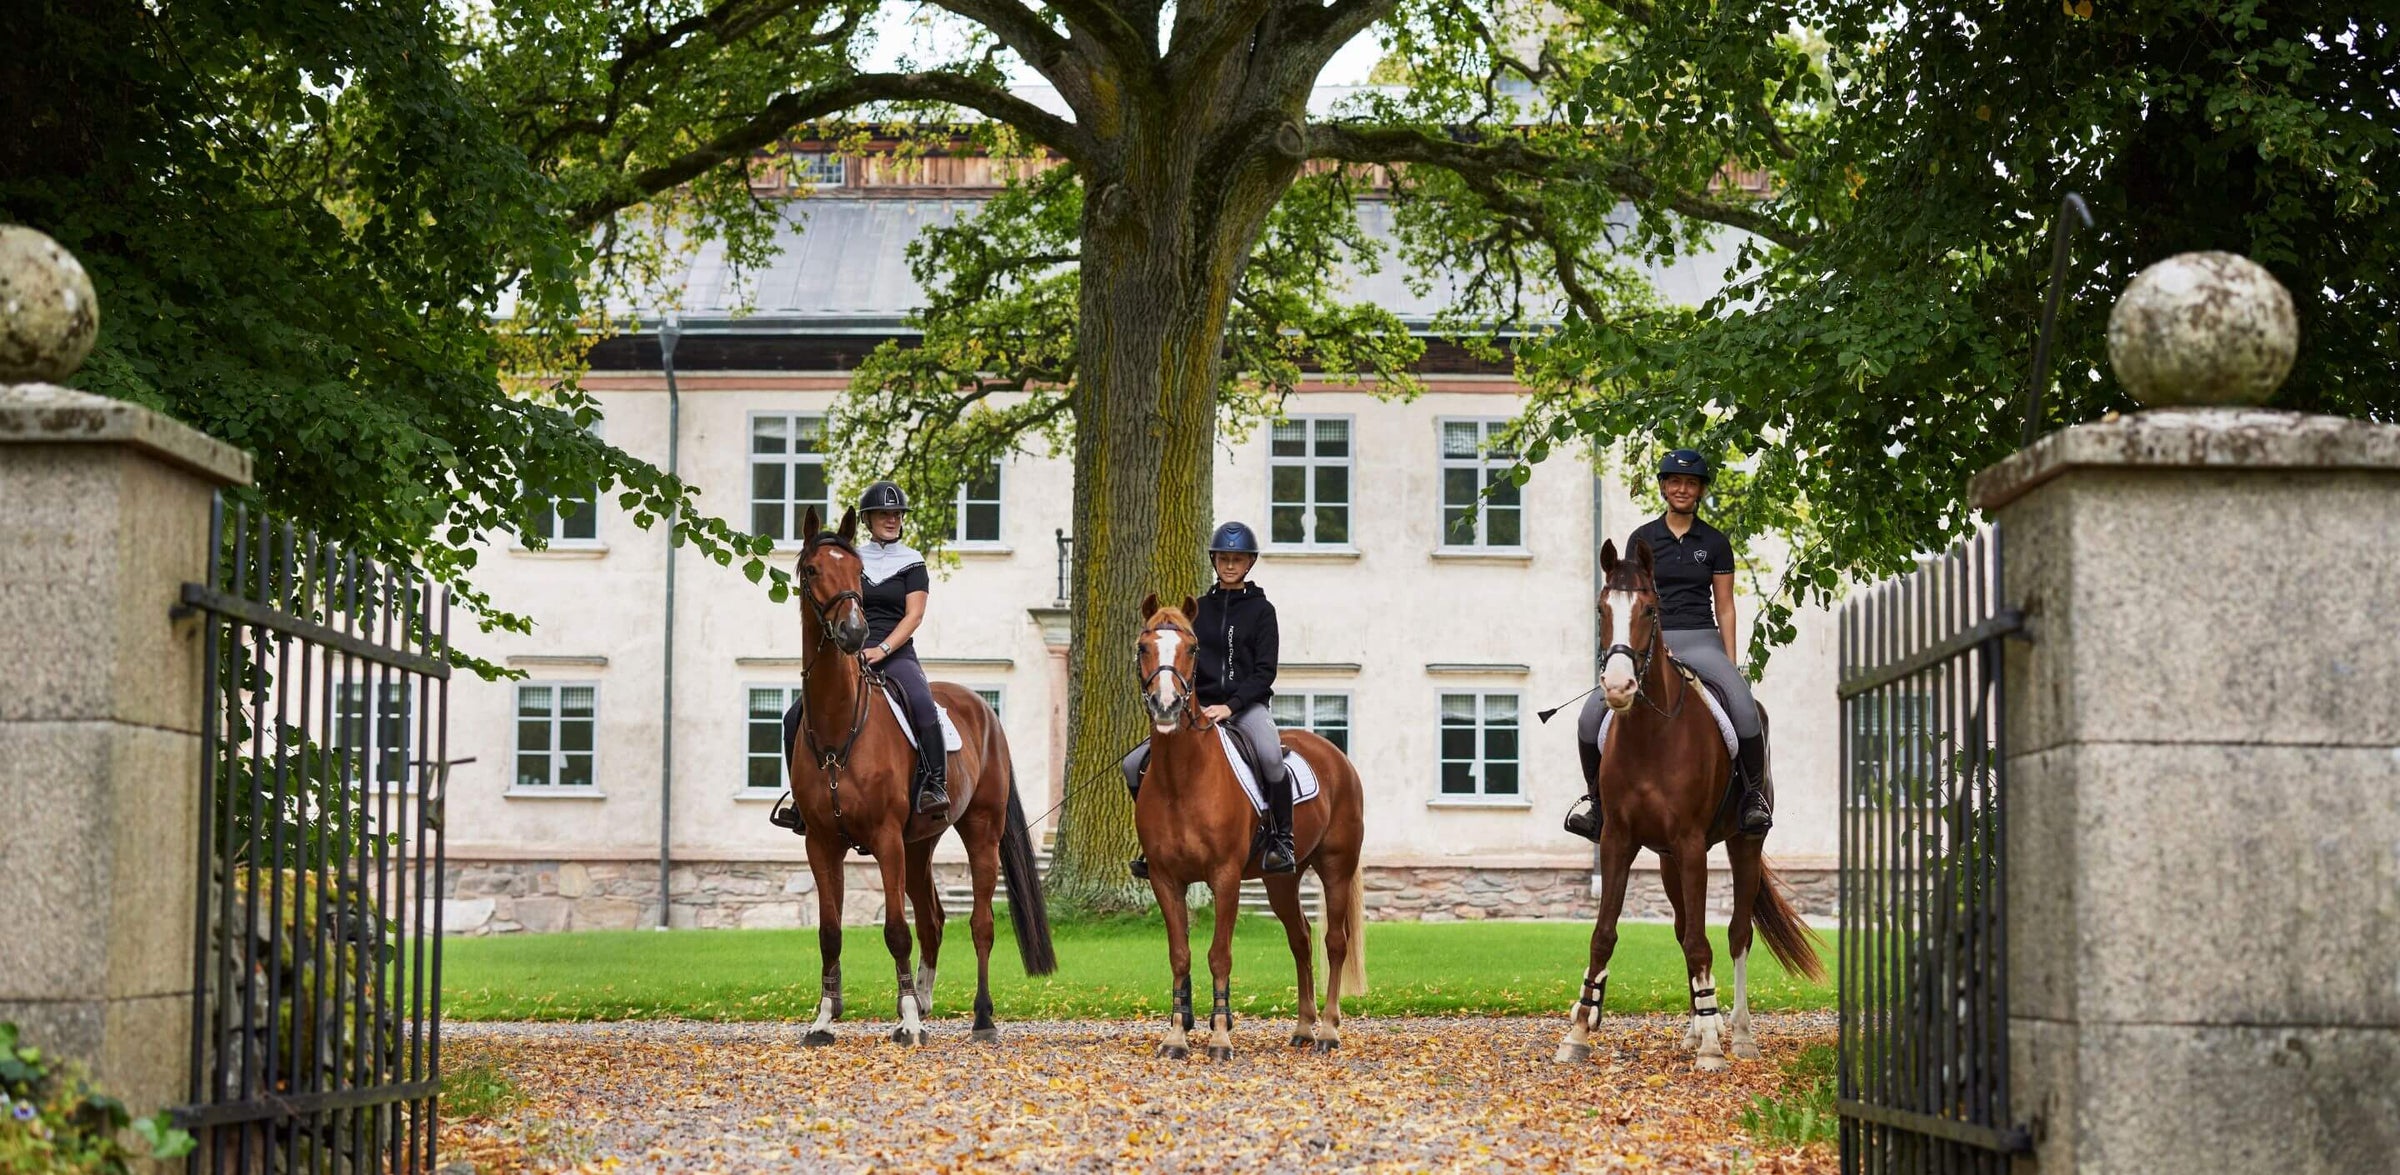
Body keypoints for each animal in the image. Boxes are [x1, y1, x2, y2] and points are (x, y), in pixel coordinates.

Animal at [787, 508, 1051, 1045]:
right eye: (812, 570)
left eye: (856, 573)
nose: (853, 633)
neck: (838, 728)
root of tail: (983, 711)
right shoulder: (822, 843)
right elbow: (830, 932)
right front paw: (824, 1020)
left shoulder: (885, 838)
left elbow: (894, 931)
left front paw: (908, 1022)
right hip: (918, 845)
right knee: (932, 918)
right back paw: (925, 1001)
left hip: (978, 831)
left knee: (980, 924)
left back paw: (981, 1018)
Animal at [1128, 597, 1372, 1064]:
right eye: (1143, 647)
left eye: (1191, 648)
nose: (1166, 706)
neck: (1182, 776)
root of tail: (1337, 756)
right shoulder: (1166, 880)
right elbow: (1180, 955)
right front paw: (1176, 1036)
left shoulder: (1225, 878)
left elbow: (1219, 955)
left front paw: (1221, 1037)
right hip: (1282, 880)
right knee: (1301, 940)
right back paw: (1303, 1028)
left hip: (1336, 866)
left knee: (1334, 941)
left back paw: (1328, 1030)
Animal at [1555, 541, 1814, 1074]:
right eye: (1601, 610)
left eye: (1650, 610)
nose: (1617, 687)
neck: (1651, 734)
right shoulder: (1619, 841)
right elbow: (1605, 933)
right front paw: (1579, 1030)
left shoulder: (1694, 844)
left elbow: (1703, 940)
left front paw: (1715, 1047)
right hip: (1668, 860)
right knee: (1681, 930)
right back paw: (1696, 1027)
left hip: (1743, 844)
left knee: (1736, 934)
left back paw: (1737, 1033)